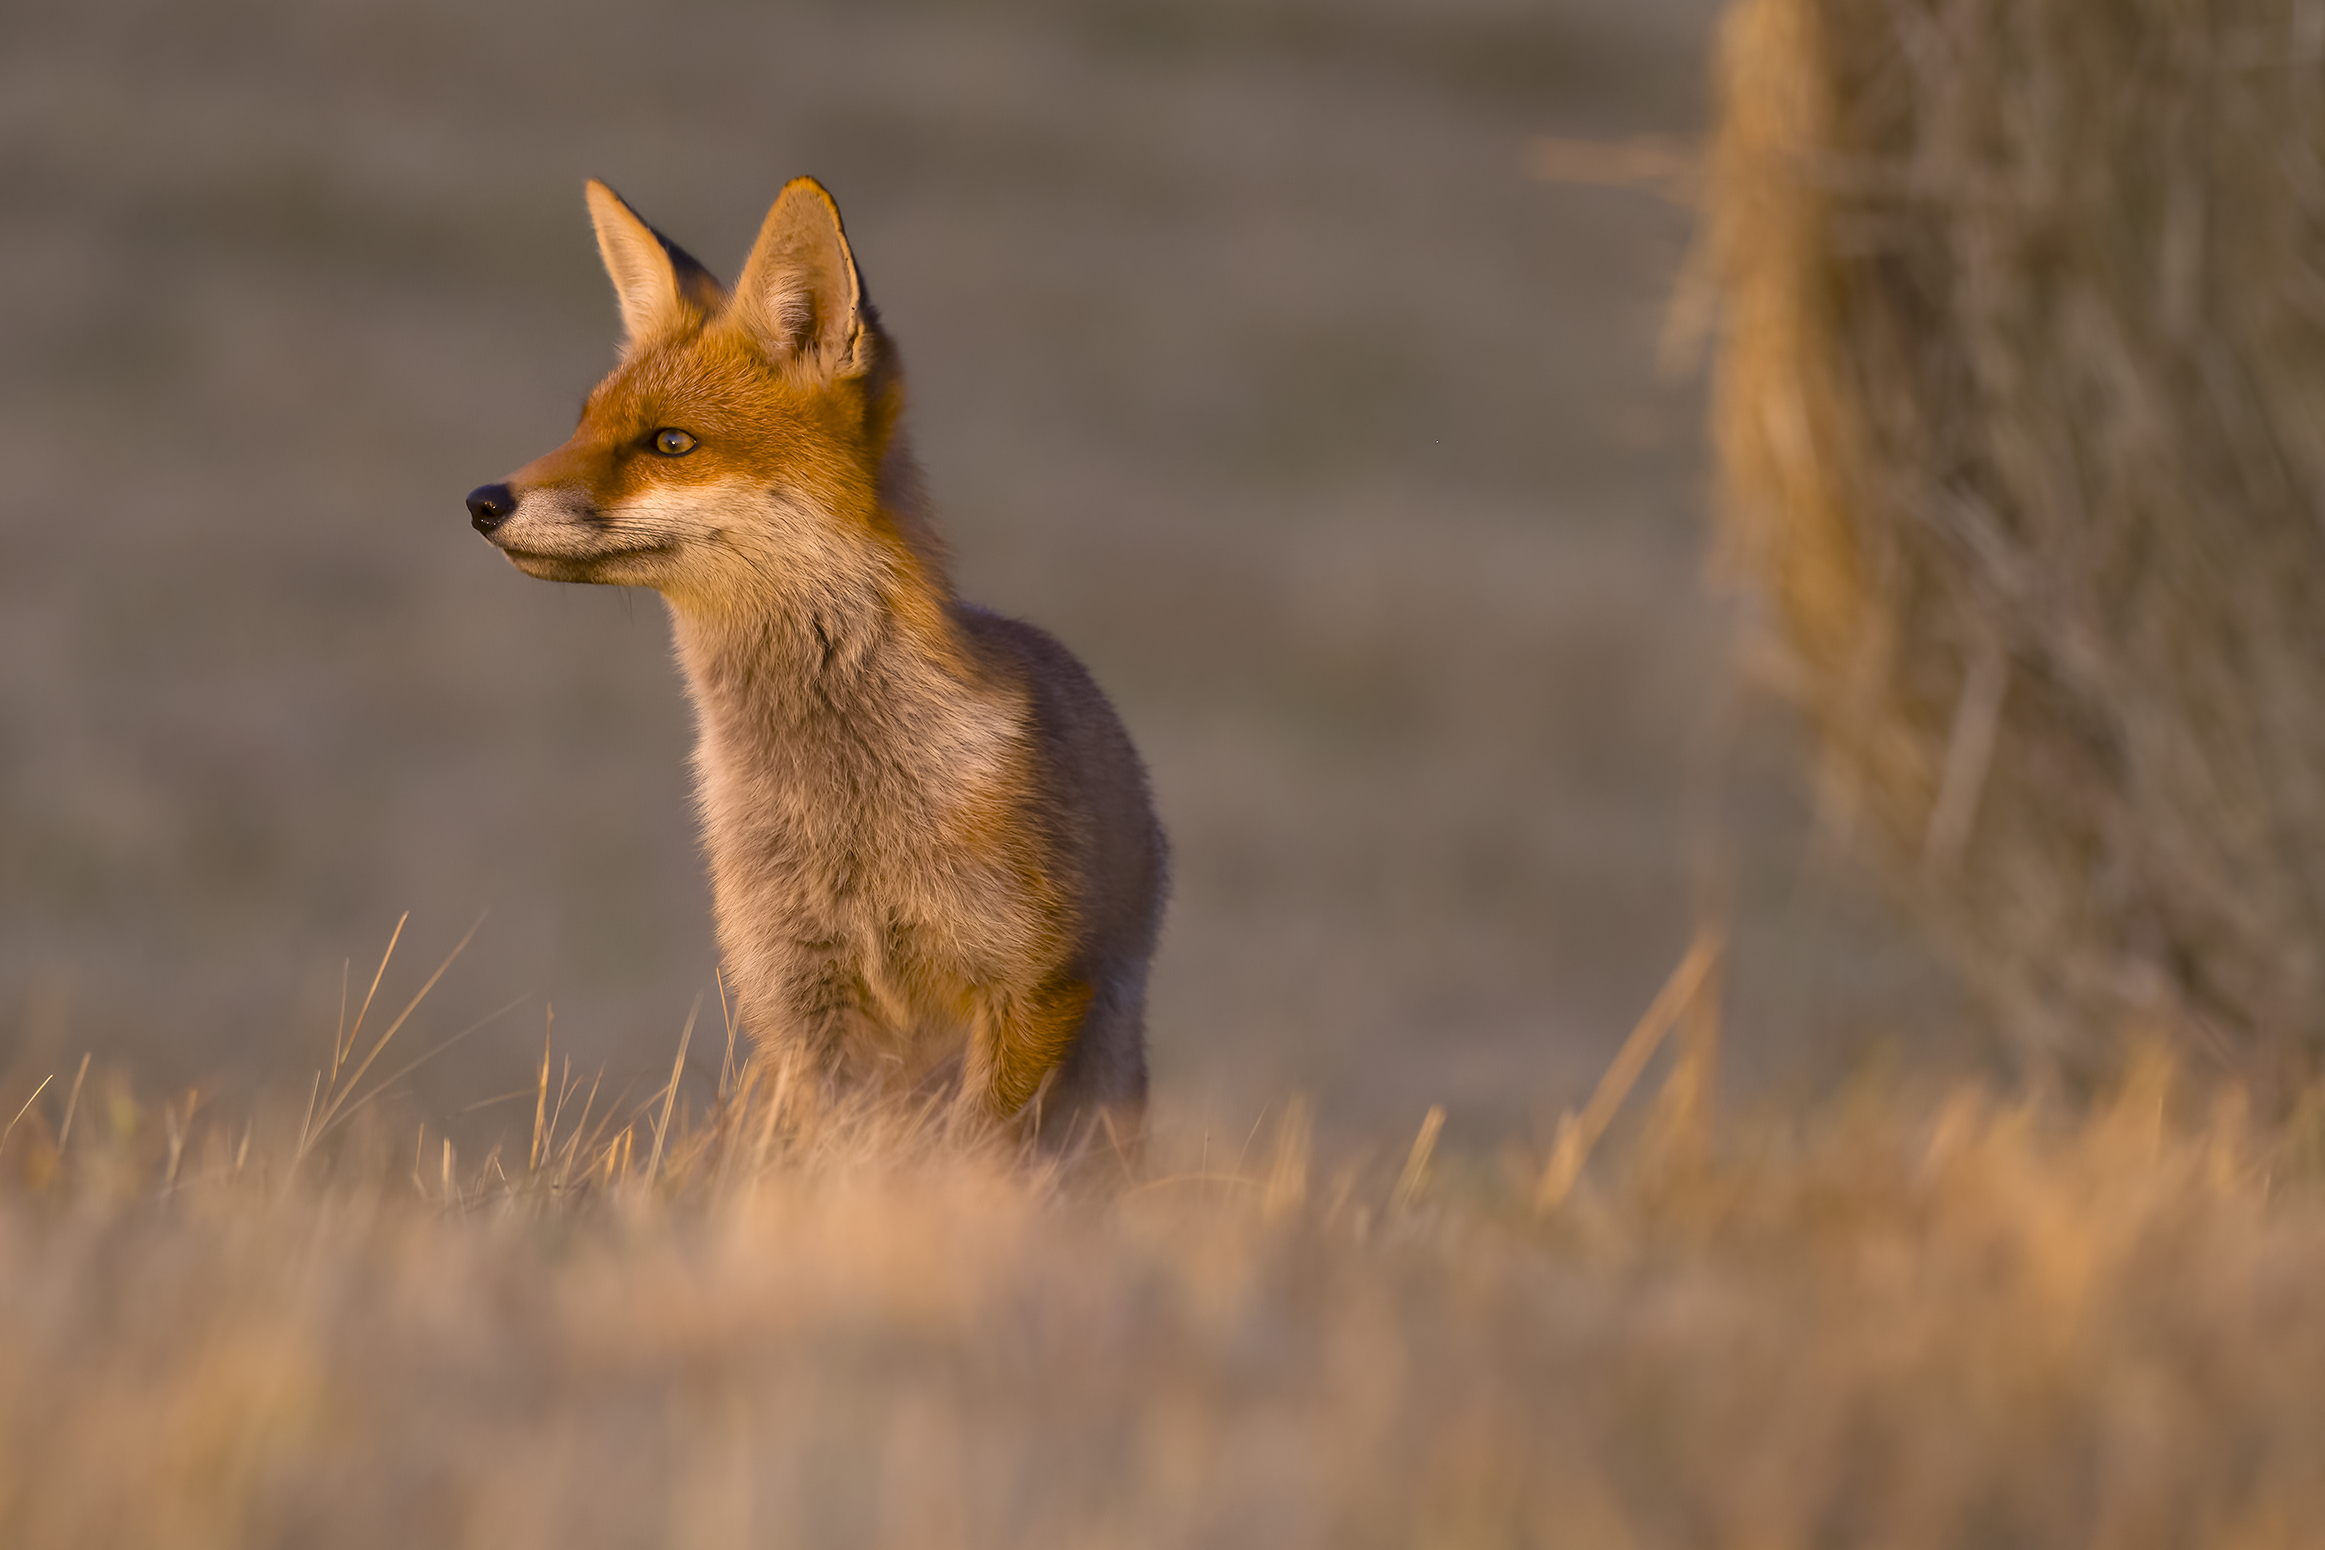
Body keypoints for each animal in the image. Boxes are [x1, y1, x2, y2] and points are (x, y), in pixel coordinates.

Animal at [466, 177, 1166, 1148]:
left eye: (669, 443)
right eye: (582, 427)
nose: (481, 502)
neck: (844, 809)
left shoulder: (1031, 986)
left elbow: (969, 1160)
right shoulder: (796, 997)